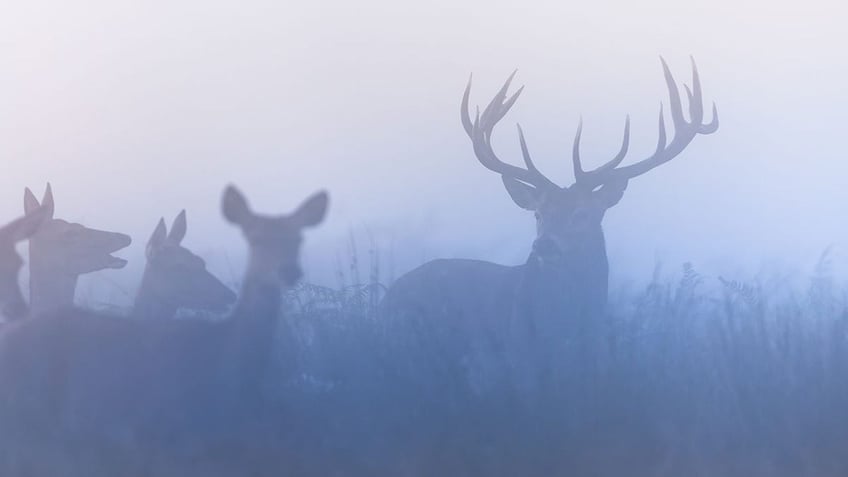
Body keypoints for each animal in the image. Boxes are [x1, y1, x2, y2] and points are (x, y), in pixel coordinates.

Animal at [380, 57, 720, 396]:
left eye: (582, 214)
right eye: (538, 214)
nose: (544, 244)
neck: (563, 329)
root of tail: (388, 295)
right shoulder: (518, 358)